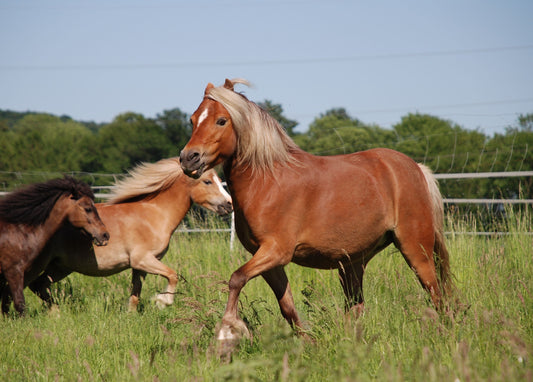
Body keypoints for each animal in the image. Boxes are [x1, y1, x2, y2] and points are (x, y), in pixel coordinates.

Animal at [27, 157, 231, 310]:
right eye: (207, 181)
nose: (229, 204)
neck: (154, 215)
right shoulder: (142, 259)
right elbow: (173, 275)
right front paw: (162, 301)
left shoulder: (140, 267)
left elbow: (135, 294)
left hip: (61, 266)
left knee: (38, 285)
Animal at [180, 78, 454, 350]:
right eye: (192, 120)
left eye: (221, 120)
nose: (188, 158)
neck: (267, 181)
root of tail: (415, 168)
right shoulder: (267, 259)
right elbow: (287, 306)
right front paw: (307, 342)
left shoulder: (276, 251)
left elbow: (236, 278)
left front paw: (227, 332)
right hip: (354, 261)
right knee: (356, 307)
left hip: (415, 249)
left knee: (436, 294)